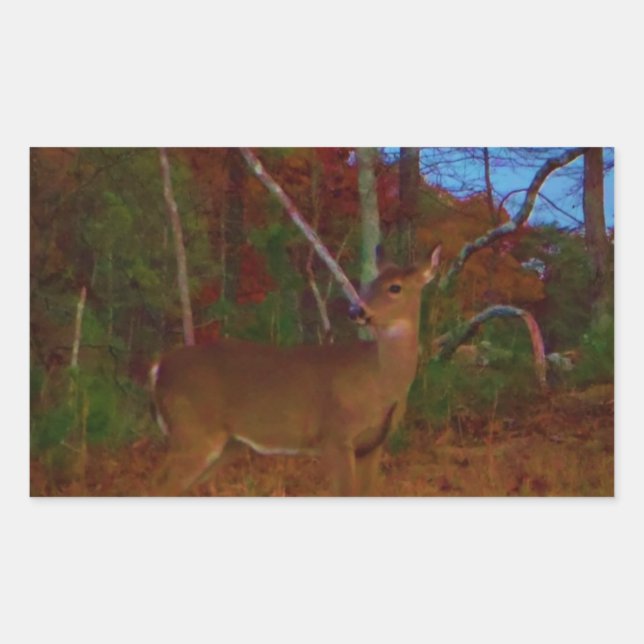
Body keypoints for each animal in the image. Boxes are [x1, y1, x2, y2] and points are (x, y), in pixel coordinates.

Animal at [149, 243, 442, 496]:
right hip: (192, 430)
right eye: (368, 285)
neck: (380, 381)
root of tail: (159, 367)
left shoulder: (373, 446)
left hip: (225, 444)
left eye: (395, 287)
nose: (355, 310)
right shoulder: (336, 435)